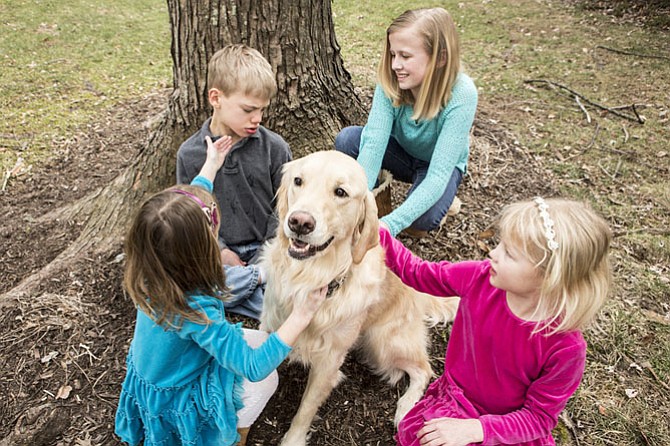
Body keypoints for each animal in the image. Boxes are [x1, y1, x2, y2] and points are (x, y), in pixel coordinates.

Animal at [262, 152, 462, 444]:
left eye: (341, 192)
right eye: (298, 181)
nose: (299, 222)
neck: (310, 275)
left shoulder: (329, 360)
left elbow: (306, 409)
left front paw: (293, 439)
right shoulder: (268, 325)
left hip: (383, 342)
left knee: (423, 369)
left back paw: (405, 408)